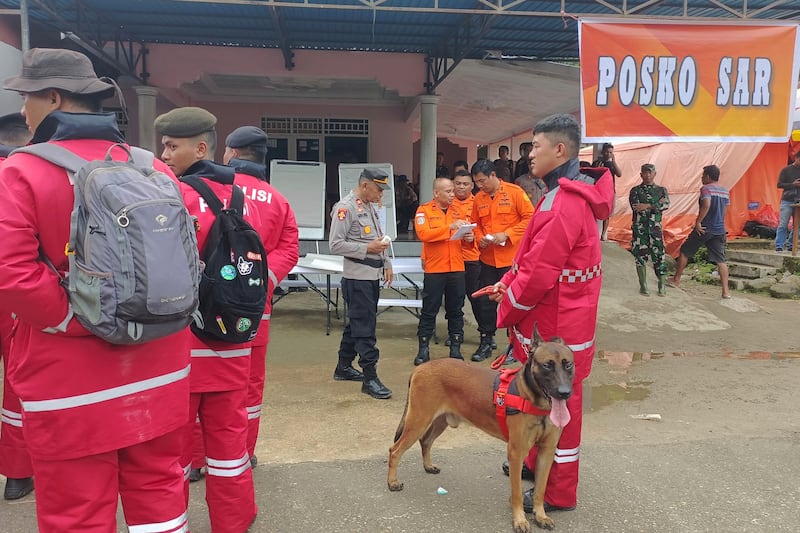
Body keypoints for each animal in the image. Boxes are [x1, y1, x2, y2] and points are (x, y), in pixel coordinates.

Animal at [388, 328, 576, 532]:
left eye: (568, 365)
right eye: (547, 365)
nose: (564, 393)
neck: (534, 399)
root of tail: (421, 368)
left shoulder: (546, 452)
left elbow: (540, 490)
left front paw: (540, 515)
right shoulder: (516, 453)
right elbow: (517, 493)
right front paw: (519, 520)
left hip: (439, 421)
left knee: (426, 441)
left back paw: (428, 466)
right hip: (418, 421)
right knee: (395, 450)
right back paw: (392, 482)